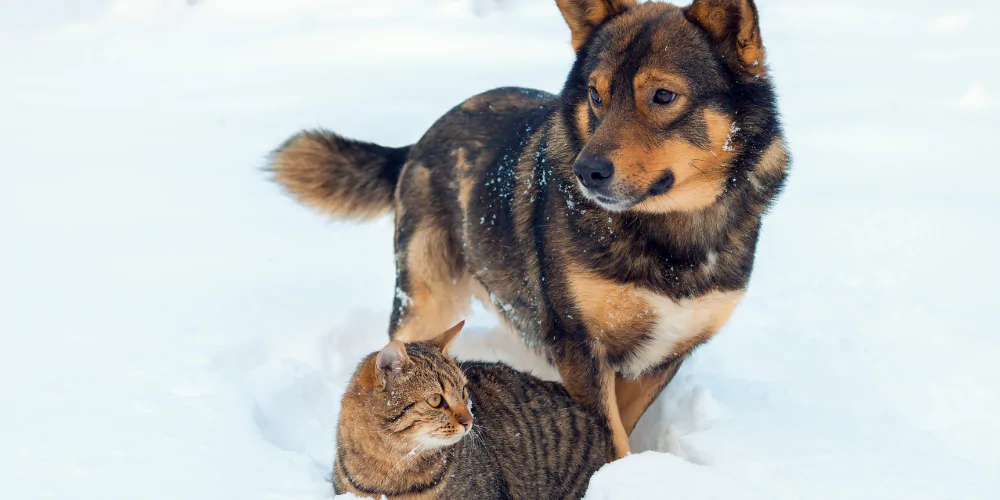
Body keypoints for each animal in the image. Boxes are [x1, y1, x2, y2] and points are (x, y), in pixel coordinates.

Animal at [272, 0, 788, 460]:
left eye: (663, 96)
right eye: (596, 95)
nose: (586, 172)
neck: (670, 234)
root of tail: (423, 137)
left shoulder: (662, 355)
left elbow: (624, 427)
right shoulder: (580, 348)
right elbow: (610, 437)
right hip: (425, 301)